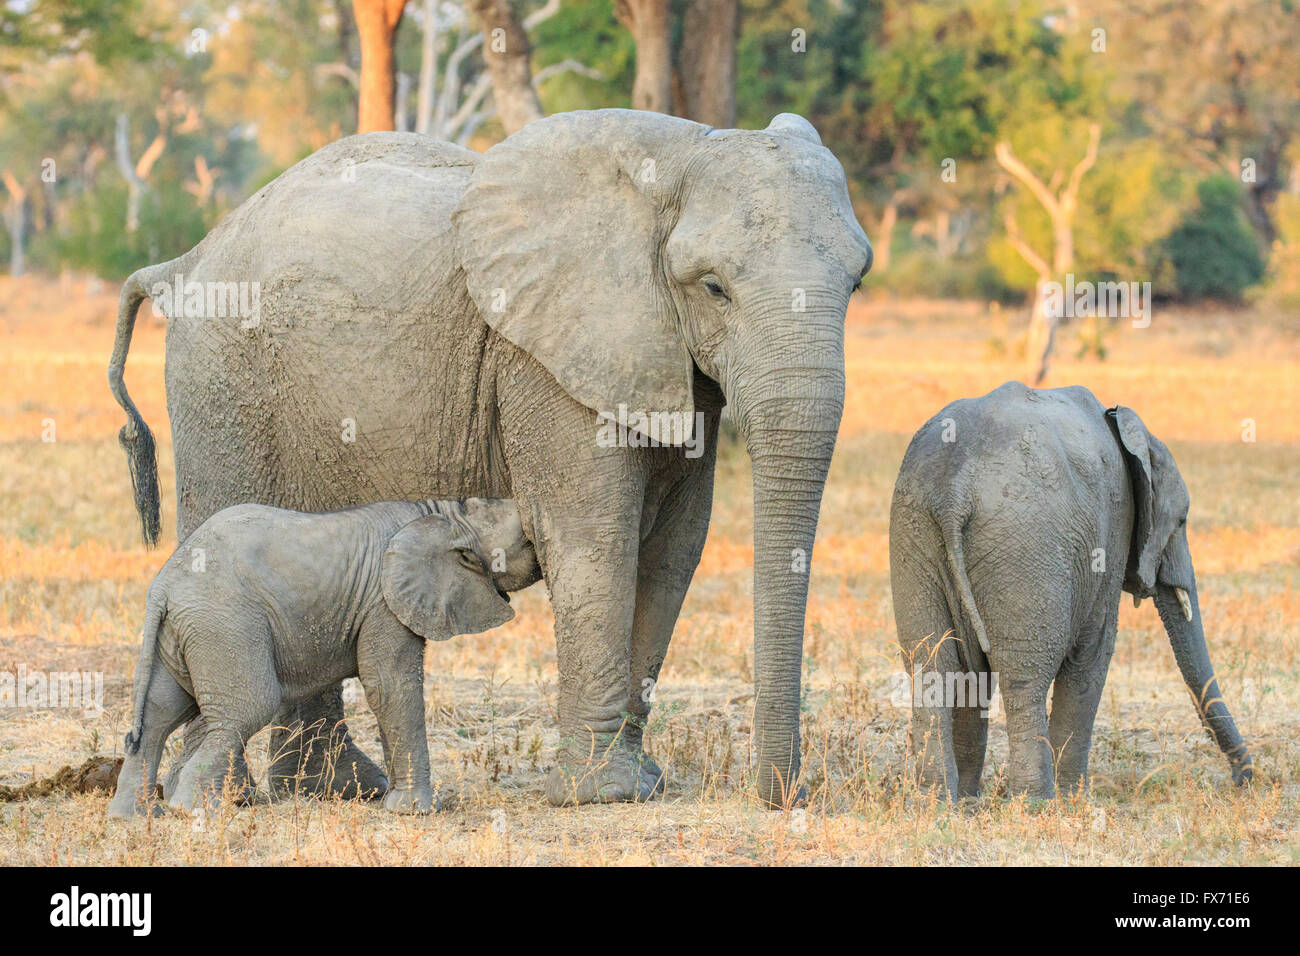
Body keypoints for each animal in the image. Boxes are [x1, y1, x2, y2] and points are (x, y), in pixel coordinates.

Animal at [106, 496, 538, 816]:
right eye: (528, 542)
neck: (446, 509)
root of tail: (162, 586)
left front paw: (393, 801)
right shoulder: (384, 602)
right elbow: (390, 686)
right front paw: (414, 811)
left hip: (180, 632)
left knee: (160, 715)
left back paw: (135, 816)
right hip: (223, 623)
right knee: (246, 710)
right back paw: (192, 809)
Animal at [889, 382, 1253, 801]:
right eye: (1181, 520)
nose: (1243, 781)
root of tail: (953, 491)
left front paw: (967, 799)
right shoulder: (1112, 529)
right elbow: (1093, 652)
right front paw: (1074, 798)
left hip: (914, 531)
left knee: (934, 666)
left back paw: (938, 800)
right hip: (1024, 542)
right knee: (1024, 678)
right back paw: (1037, 802)